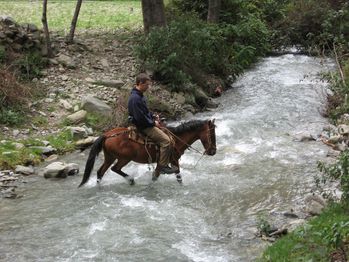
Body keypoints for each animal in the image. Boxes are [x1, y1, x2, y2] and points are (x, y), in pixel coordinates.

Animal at [78, 118, 216, 186]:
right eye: (212, 134)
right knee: (114, 169)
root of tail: (107, 135)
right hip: (124, 158)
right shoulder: (169, 161)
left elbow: (171, 176)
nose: (213, 151)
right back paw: (130, 180)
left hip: (110, 157)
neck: (176, 139)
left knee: (100, 171)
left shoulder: (170, 161)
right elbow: (167, 176)